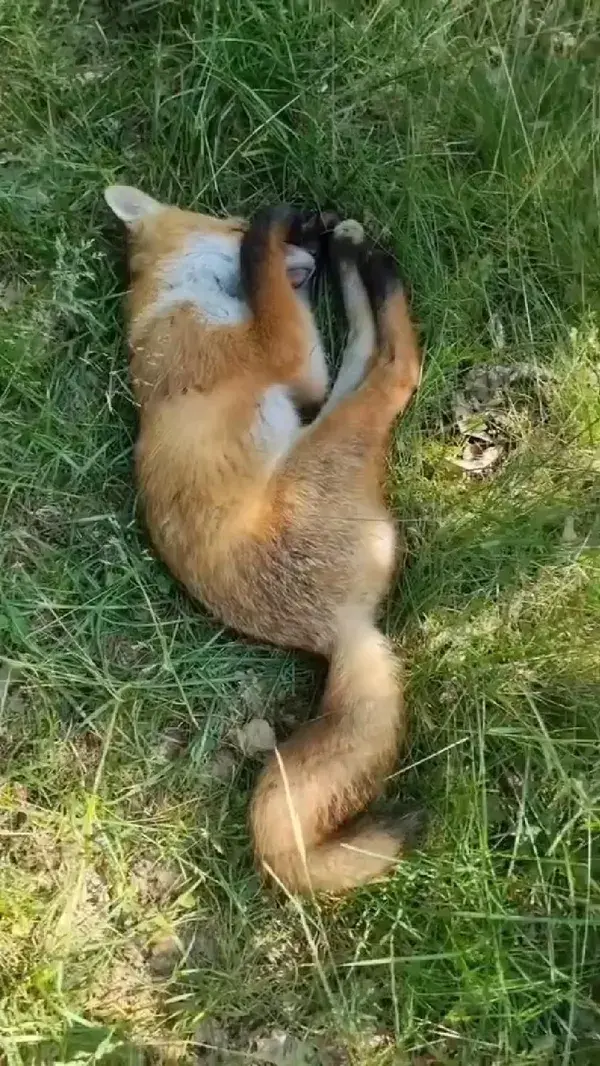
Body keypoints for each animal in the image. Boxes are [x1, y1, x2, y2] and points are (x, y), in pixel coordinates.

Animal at [104, 187, 422, 895]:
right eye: (226, 221)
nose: (311, 245)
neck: (170, 304)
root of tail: (340, 629)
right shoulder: (286, 358)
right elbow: (266, 282)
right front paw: (274, 227)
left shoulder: (298, 367)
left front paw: (320, 238)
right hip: (330, 435)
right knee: (396, 367)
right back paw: (377, 267)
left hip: (325, 419)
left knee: (365, 352)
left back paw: (359, 254)